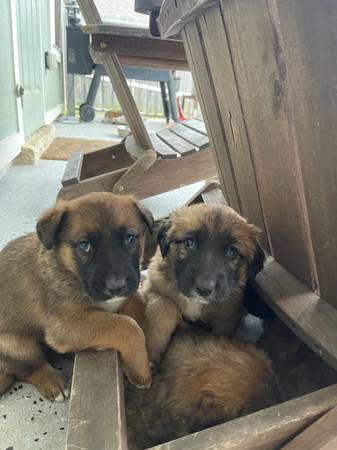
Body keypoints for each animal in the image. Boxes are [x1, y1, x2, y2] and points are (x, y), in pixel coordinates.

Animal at [0, 192, 152, 400]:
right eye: (84, 246)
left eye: (130, 239)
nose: (116, 286)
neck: (68, 270)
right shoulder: (64, 325)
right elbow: (128, 326)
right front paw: (140, 369)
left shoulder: (129, 294)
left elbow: (138, 304)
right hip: (15, 345)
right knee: (26, 369)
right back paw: (51, 381)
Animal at [143, 203, 264, 362]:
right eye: (189, 243)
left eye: (232, 252)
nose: (204, 289)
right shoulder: (155, 286)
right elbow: (162, 310)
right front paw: (153, 349)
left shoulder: (226, 316)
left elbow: (219, 336)